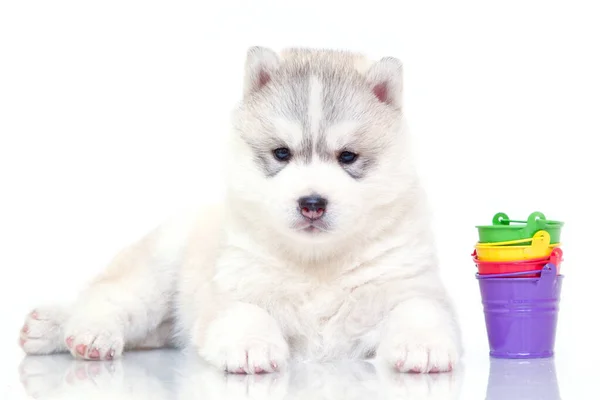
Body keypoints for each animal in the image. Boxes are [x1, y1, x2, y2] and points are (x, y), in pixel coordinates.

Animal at [17, 47, 460, 376]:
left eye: (347, 156)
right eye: (281, 153)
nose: (312, 204)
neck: (317, 265)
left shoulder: (410, 284)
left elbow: (420, 309)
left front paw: (423, 345)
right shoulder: (232, 288)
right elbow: (245, 312)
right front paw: (253, 345)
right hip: (155, 274)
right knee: (107, 298)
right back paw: (81, 332)